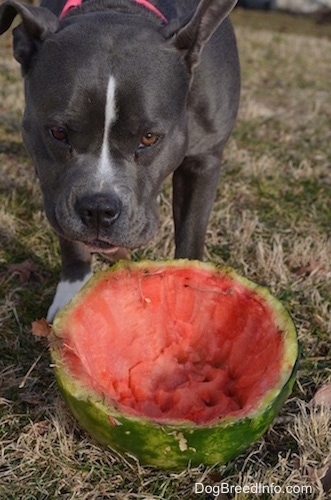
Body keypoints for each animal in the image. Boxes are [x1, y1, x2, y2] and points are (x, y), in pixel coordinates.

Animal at [0, 0, 240, 320]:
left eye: (149, 138)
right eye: (59, 133)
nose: (99, 209)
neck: (118, 8)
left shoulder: (204, 160)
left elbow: (191, 233)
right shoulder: (51, 177)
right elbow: (70, 237)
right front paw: (73, 296)